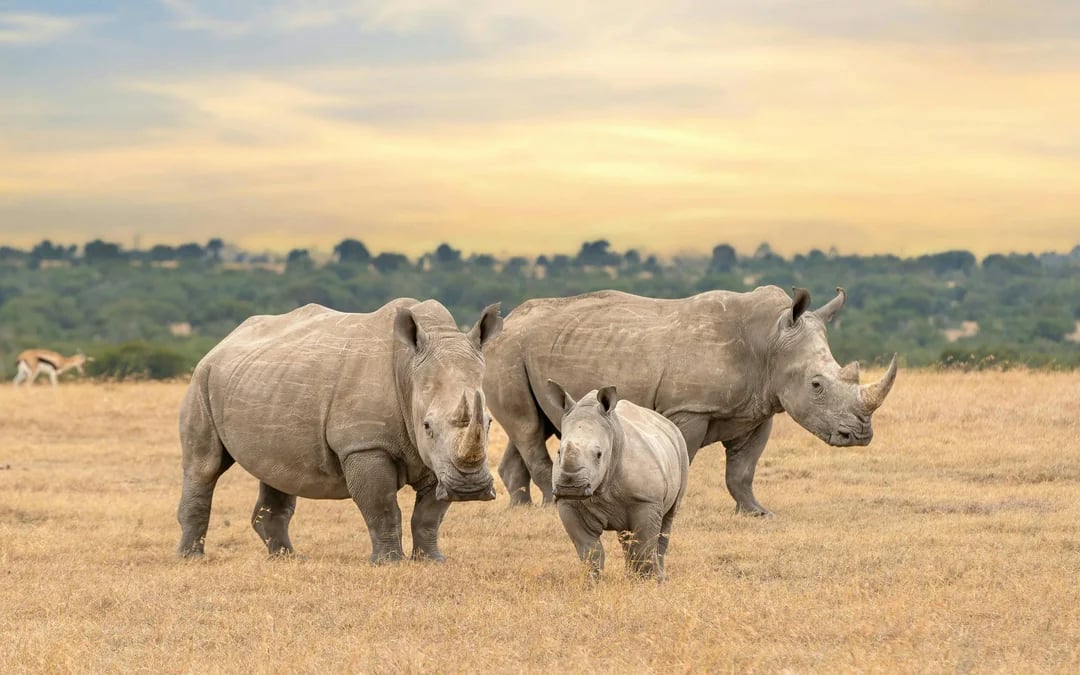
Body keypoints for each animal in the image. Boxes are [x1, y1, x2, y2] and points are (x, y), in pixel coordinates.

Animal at [176, 299, 503, 563]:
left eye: (488, 423)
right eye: (427, 426)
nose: (470, 489)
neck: (409, 370)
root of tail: (223, 341)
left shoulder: (437, 459)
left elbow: (429, 514)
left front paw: (432, 561)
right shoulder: (365, 445)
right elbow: (382, 506)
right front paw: (389, 563)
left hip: (262, 383)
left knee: (275, 470)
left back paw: (287, 558)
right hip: (202, 379)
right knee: (204, 466)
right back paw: (192, 559)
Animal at [484, 286, 897, 514]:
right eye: (816, 385)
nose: (860, 435)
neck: (770, 340)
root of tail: (504, 324)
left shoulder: (760, 409)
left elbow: (743, 470)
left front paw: (757, 513)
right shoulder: (689, 409)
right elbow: (685, 457)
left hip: (534, 351)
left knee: (534, 427)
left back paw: (521, 508)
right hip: (509, 352)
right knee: (527, 429)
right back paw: (550, 505)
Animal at [549, 381, 688, 582]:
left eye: (599, 454)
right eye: (559, 452)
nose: (571, 488)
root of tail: (667, 423)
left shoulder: (647, 500)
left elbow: (643, 546)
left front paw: (646, 582)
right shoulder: (568, 504)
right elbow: (589, 551)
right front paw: (592, 582)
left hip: (681, 447)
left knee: (667, 520)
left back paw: (660, 577)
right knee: (626, 535)